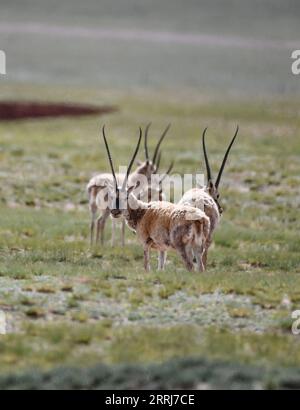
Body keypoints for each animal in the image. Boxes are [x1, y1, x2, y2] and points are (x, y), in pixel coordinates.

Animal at [102, 126, 210, 270]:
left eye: (126, 196)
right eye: (112, 196)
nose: (114, 212)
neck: (143, 211)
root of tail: (200, 218)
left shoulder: (145, 244)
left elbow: (147, 267)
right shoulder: (162, 248)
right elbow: (160, 267)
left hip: (182, 247)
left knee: (190, 267)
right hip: (198, 248)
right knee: (201, 268)